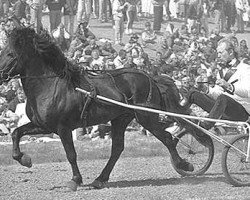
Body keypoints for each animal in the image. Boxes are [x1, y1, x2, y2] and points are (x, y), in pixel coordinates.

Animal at [0, 27, 204, 191]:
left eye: (10, 54)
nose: (1, 75)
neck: (49, 85)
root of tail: (150, 77)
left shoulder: (62, 128)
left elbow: (71, 154)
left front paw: (75, 180)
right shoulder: (43, 125)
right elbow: (16, 133)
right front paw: (24, 159)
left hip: (145, 117)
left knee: (168, 138)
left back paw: (184, 165)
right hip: (121, 119)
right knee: (117, 149)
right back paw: (100, 179)